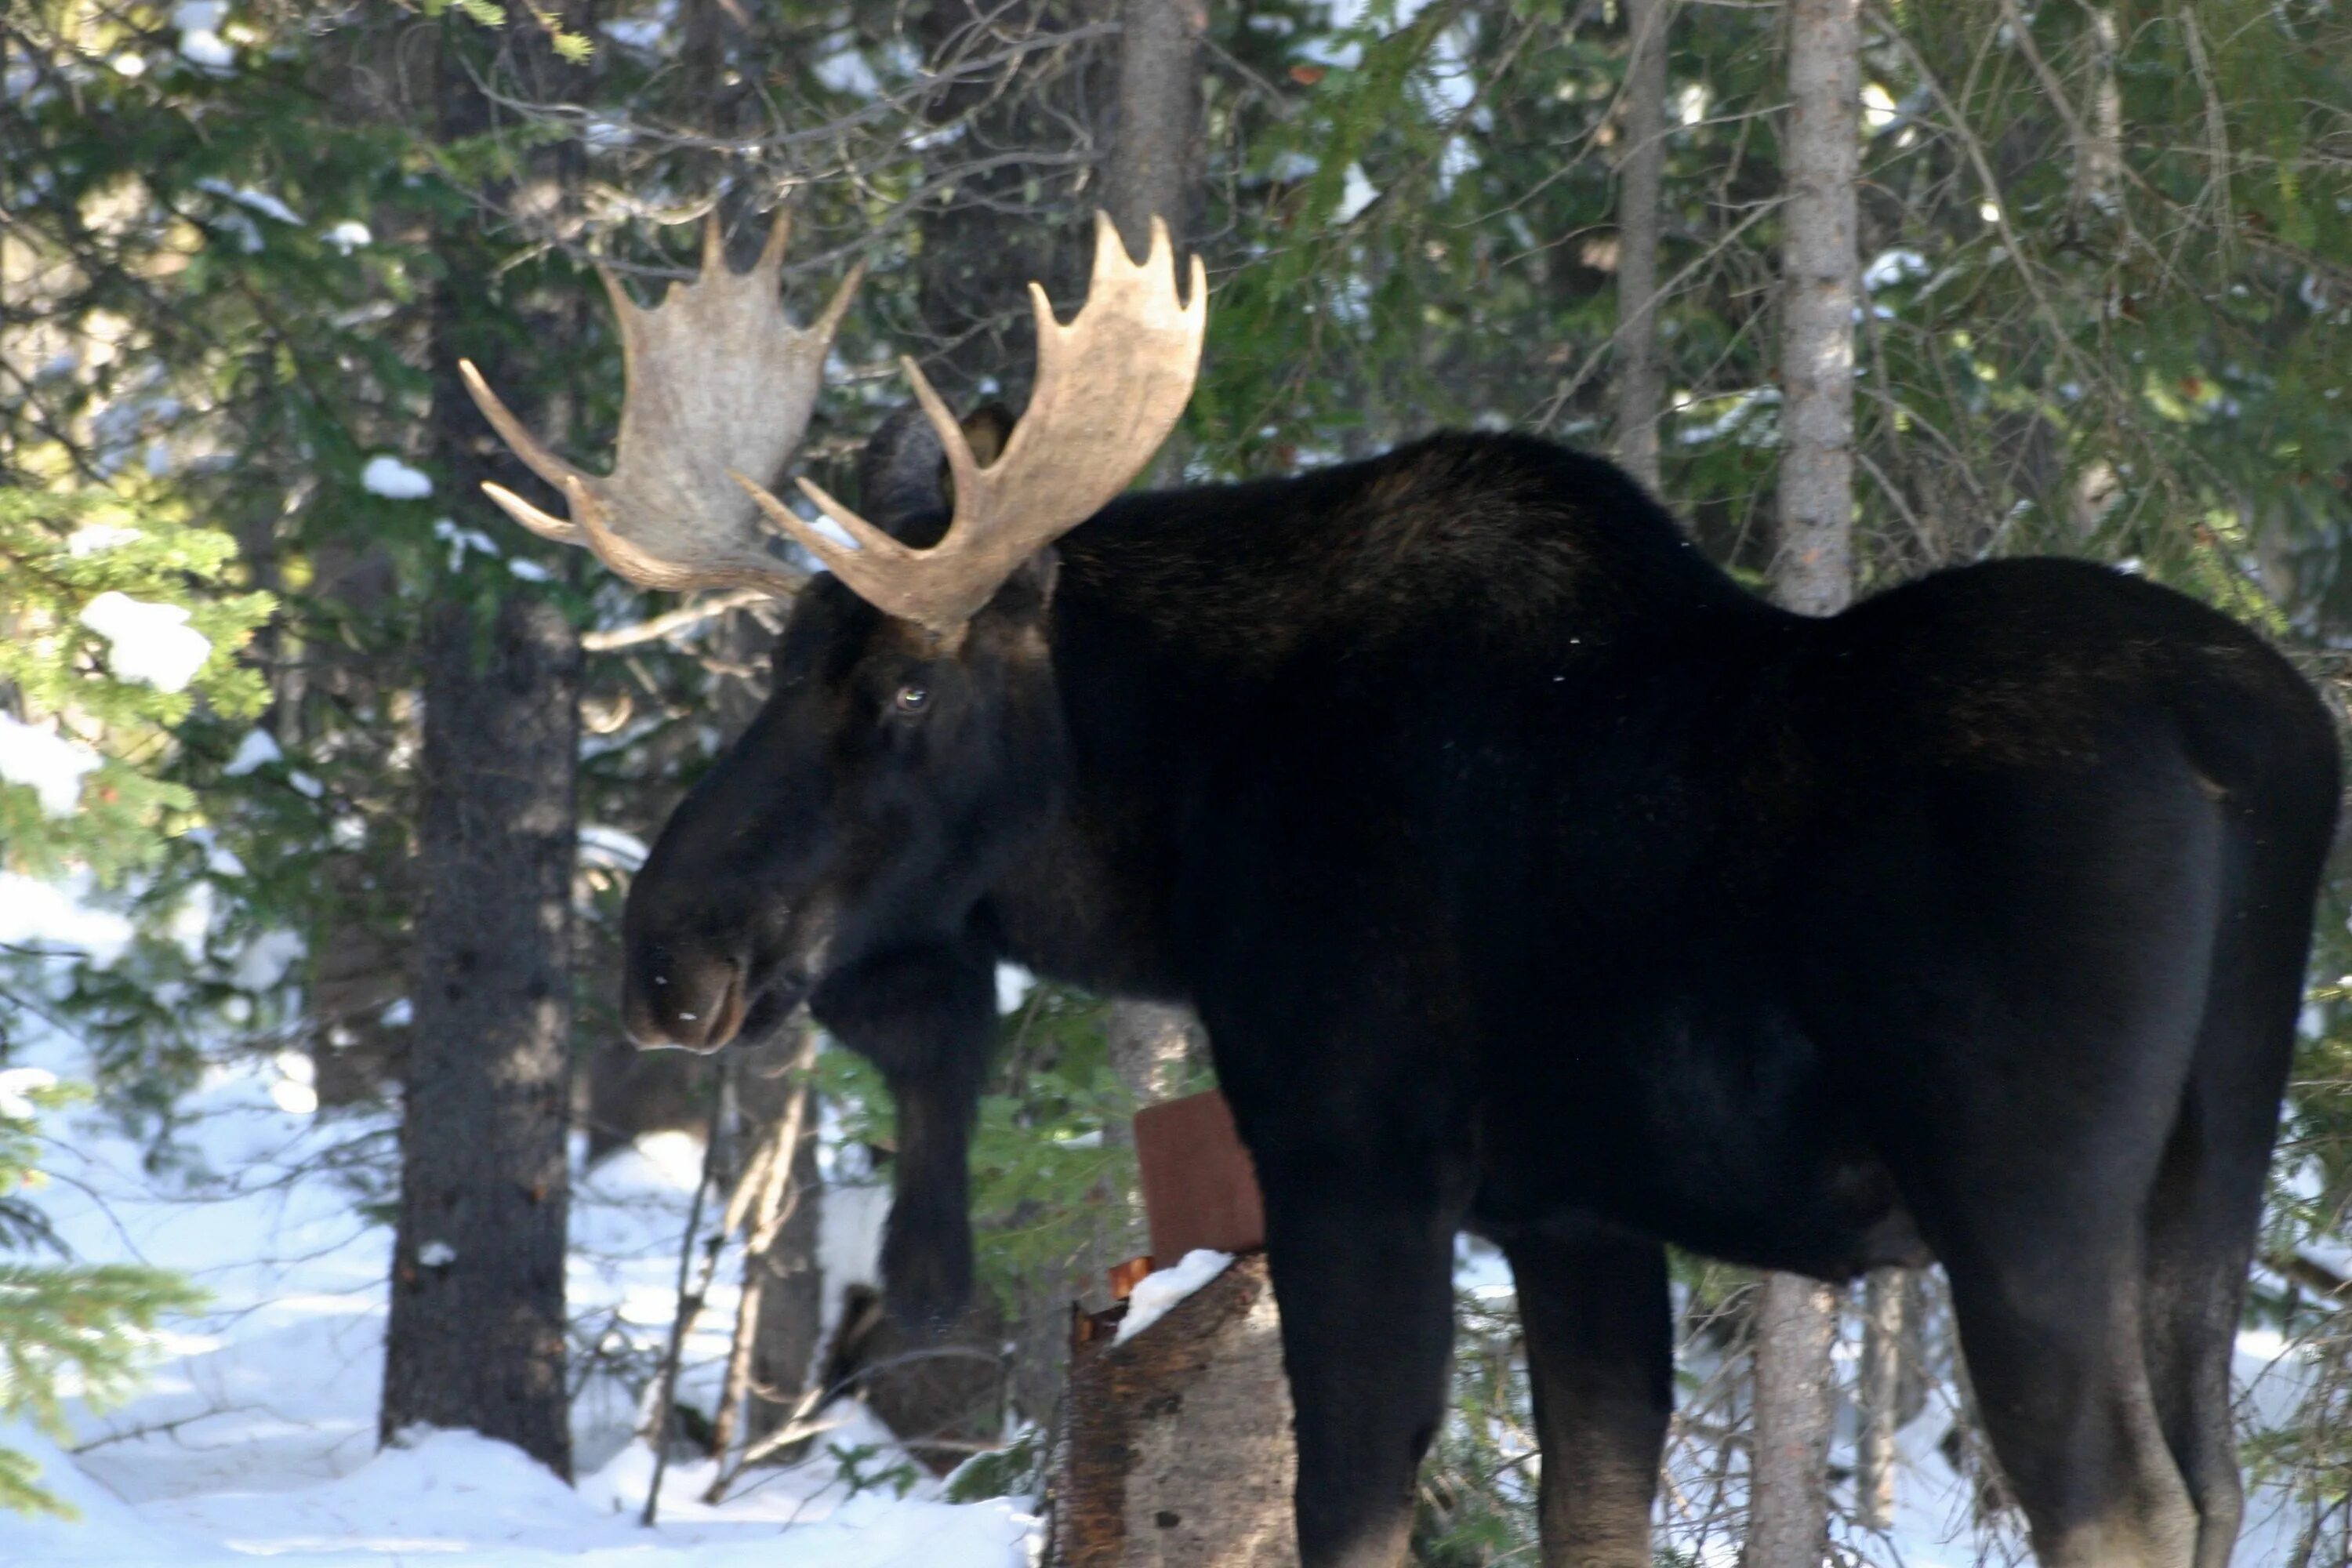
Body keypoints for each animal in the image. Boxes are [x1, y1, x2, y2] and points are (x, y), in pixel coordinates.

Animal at [468, 211, 2343, 1568]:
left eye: (911, 691)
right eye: (789, 661)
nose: (665, 952)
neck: (1179, 841)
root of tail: (2258, 738)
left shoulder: (1355, 1159)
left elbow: (1351, 1519)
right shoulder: (1576, 1213)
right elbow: (1593, 1516)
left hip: (2021, 1194)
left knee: (2122, 1504)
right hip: (2212, 1174)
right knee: (2219, 1485)